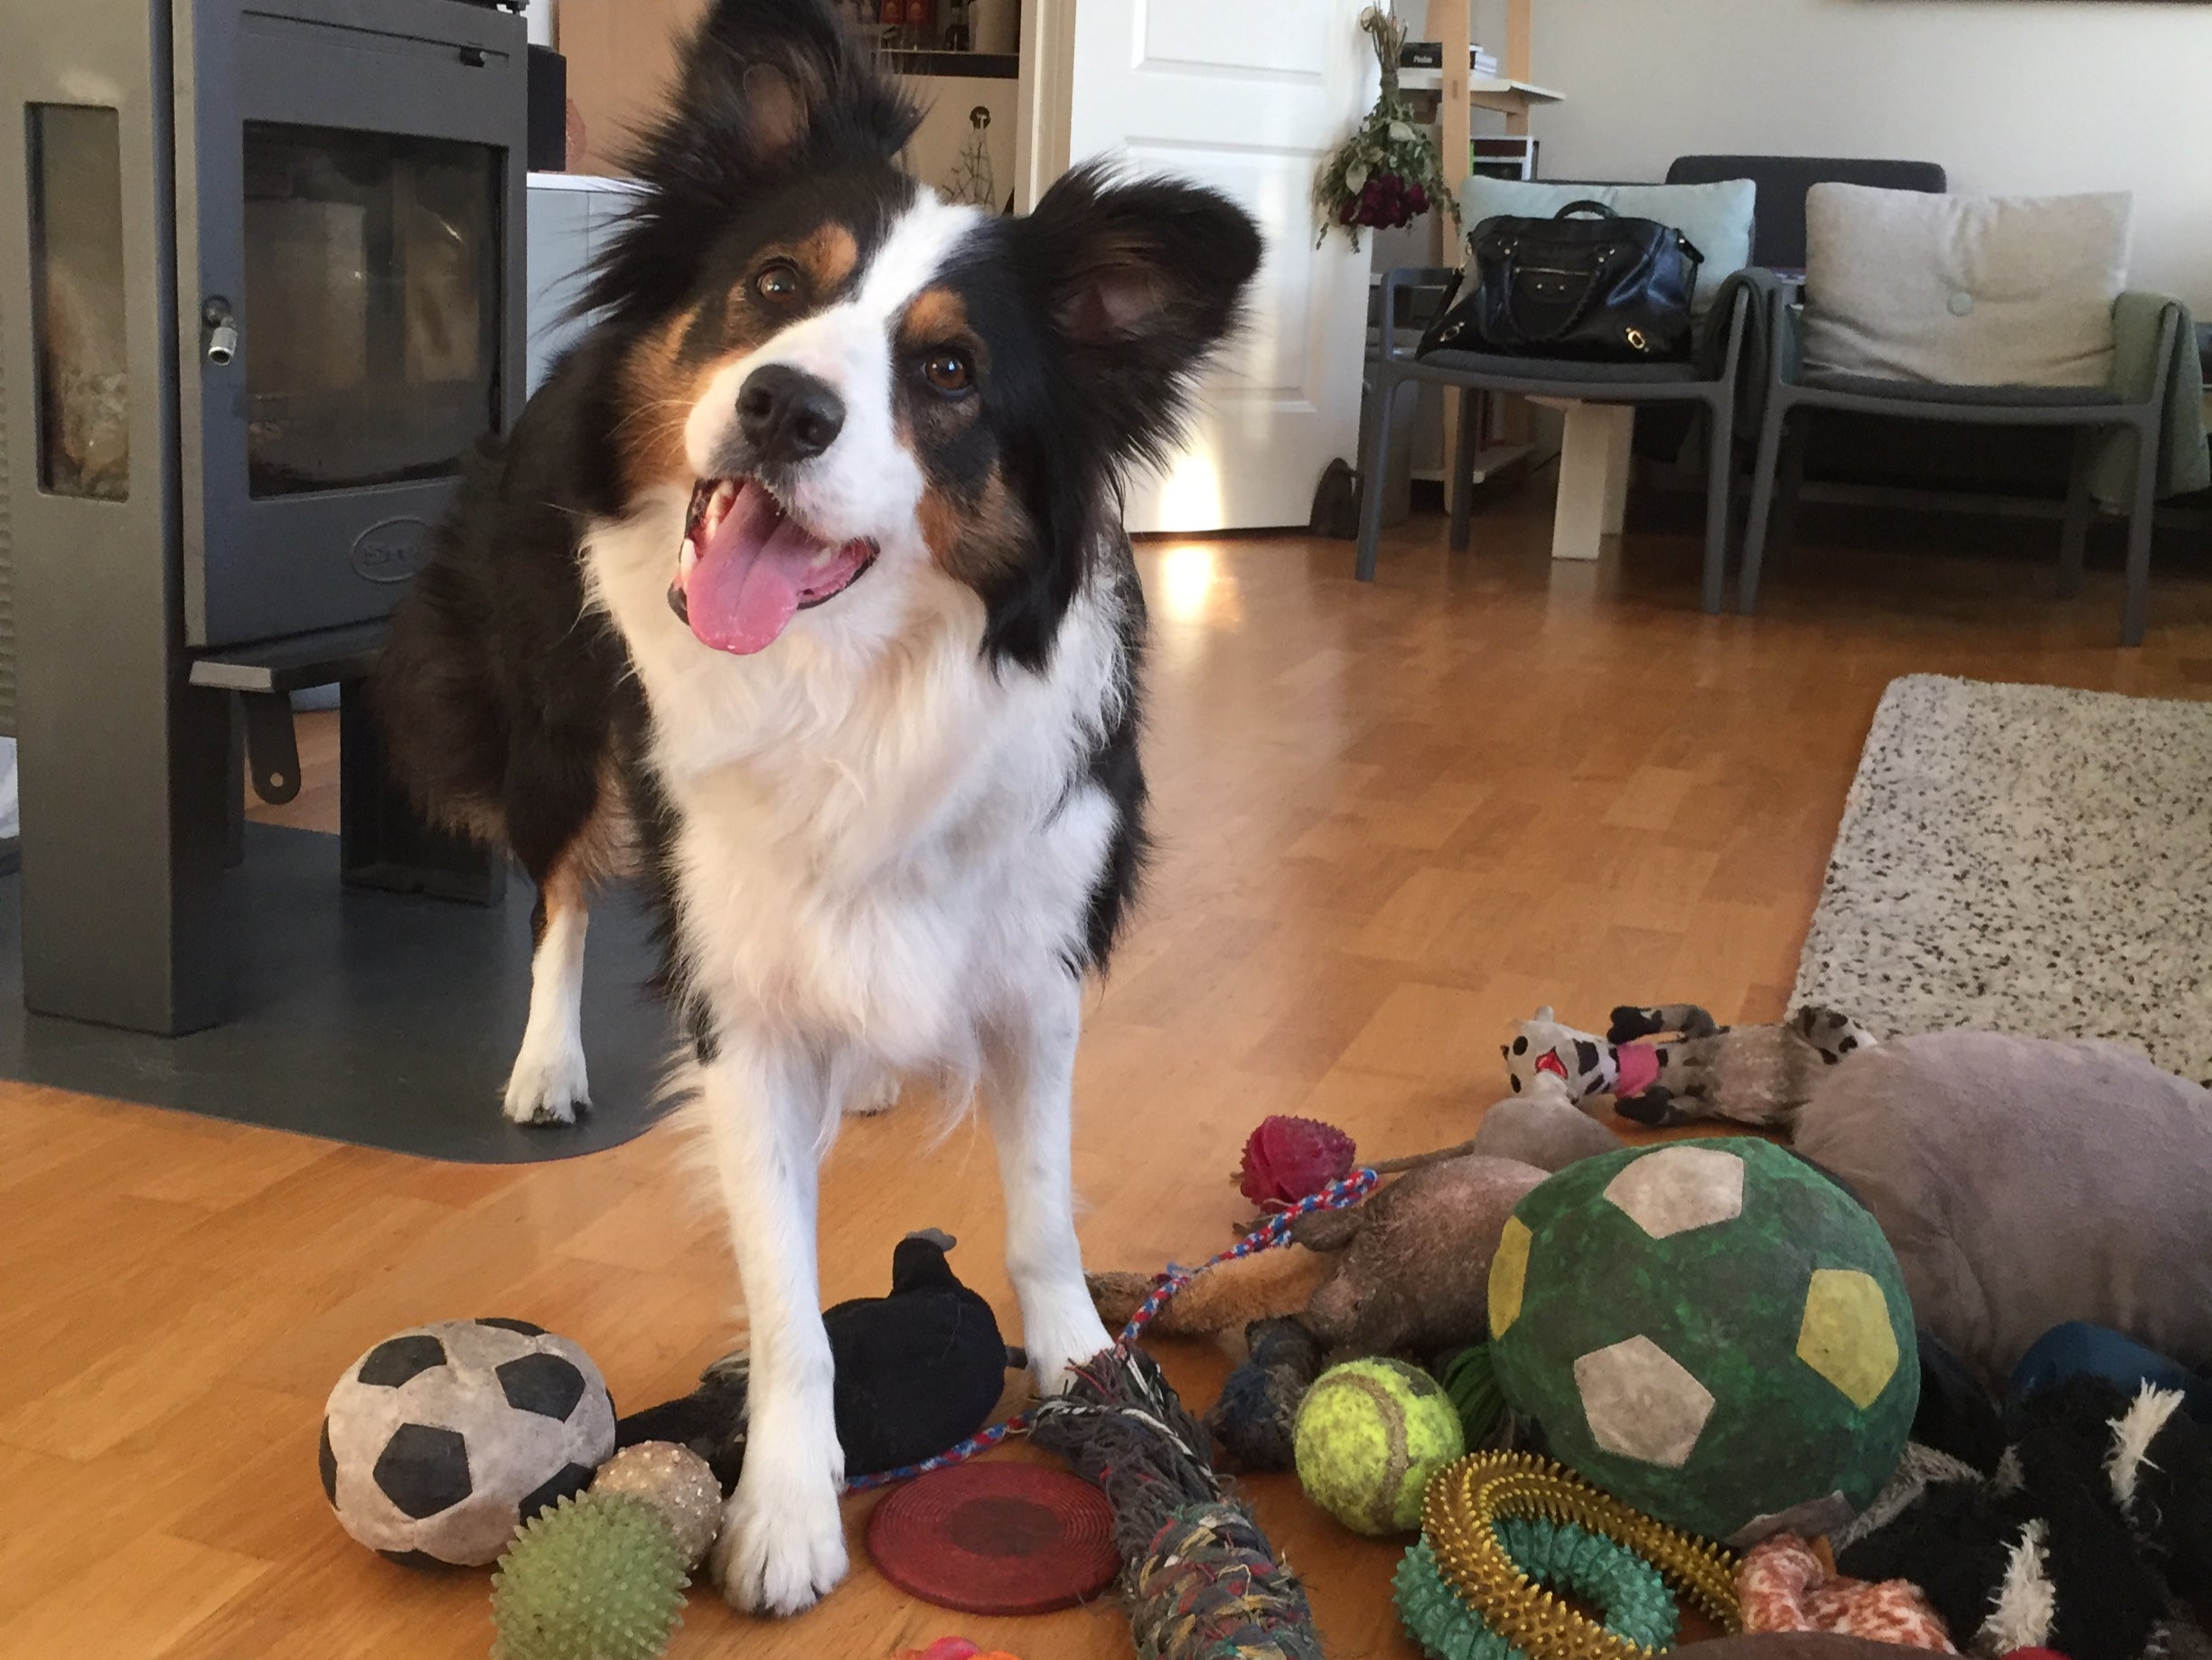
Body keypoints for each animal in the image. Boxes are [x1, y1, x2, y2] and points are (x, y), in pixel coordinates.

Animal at [380, 0, 1265, 1628]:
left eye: (953, 369)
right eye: (777, 288)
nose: (780, 403)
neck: (856, 686)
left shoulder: (1035, 961)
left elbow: (1043, 1205)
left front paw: (1083, 1366)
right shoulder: (739, 991)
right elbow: (787, 1296)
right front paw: (785, 1507)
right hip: (559, 731)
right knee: (557, 893)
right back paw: (546, 1062)